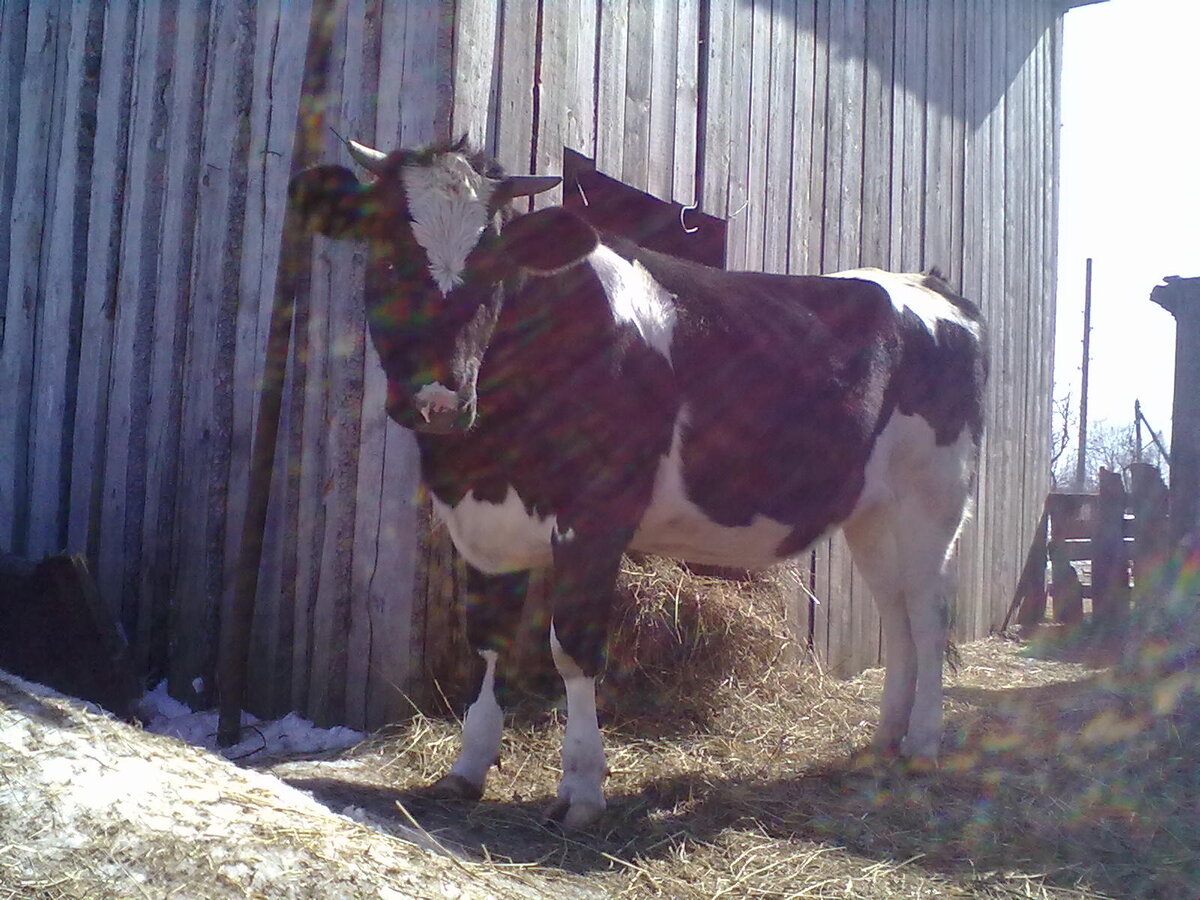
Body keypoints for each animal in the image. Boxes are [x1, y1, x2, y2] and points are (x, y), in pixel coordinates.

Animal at [288, 137, 984, 830]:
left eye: (493, 271)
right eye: (388, 258)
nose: (440, 402)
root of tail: (929, 284)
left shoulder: (597, 514)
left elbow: (572, 649)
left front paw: (581, 789)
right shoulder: (484, 524)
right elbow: (487, 644)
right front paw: (467, 767)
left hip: (934, 498)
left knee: (929, 613)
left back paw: (922, 749)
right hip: (873, 512)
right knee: (896, 612)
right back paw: (882, 743)